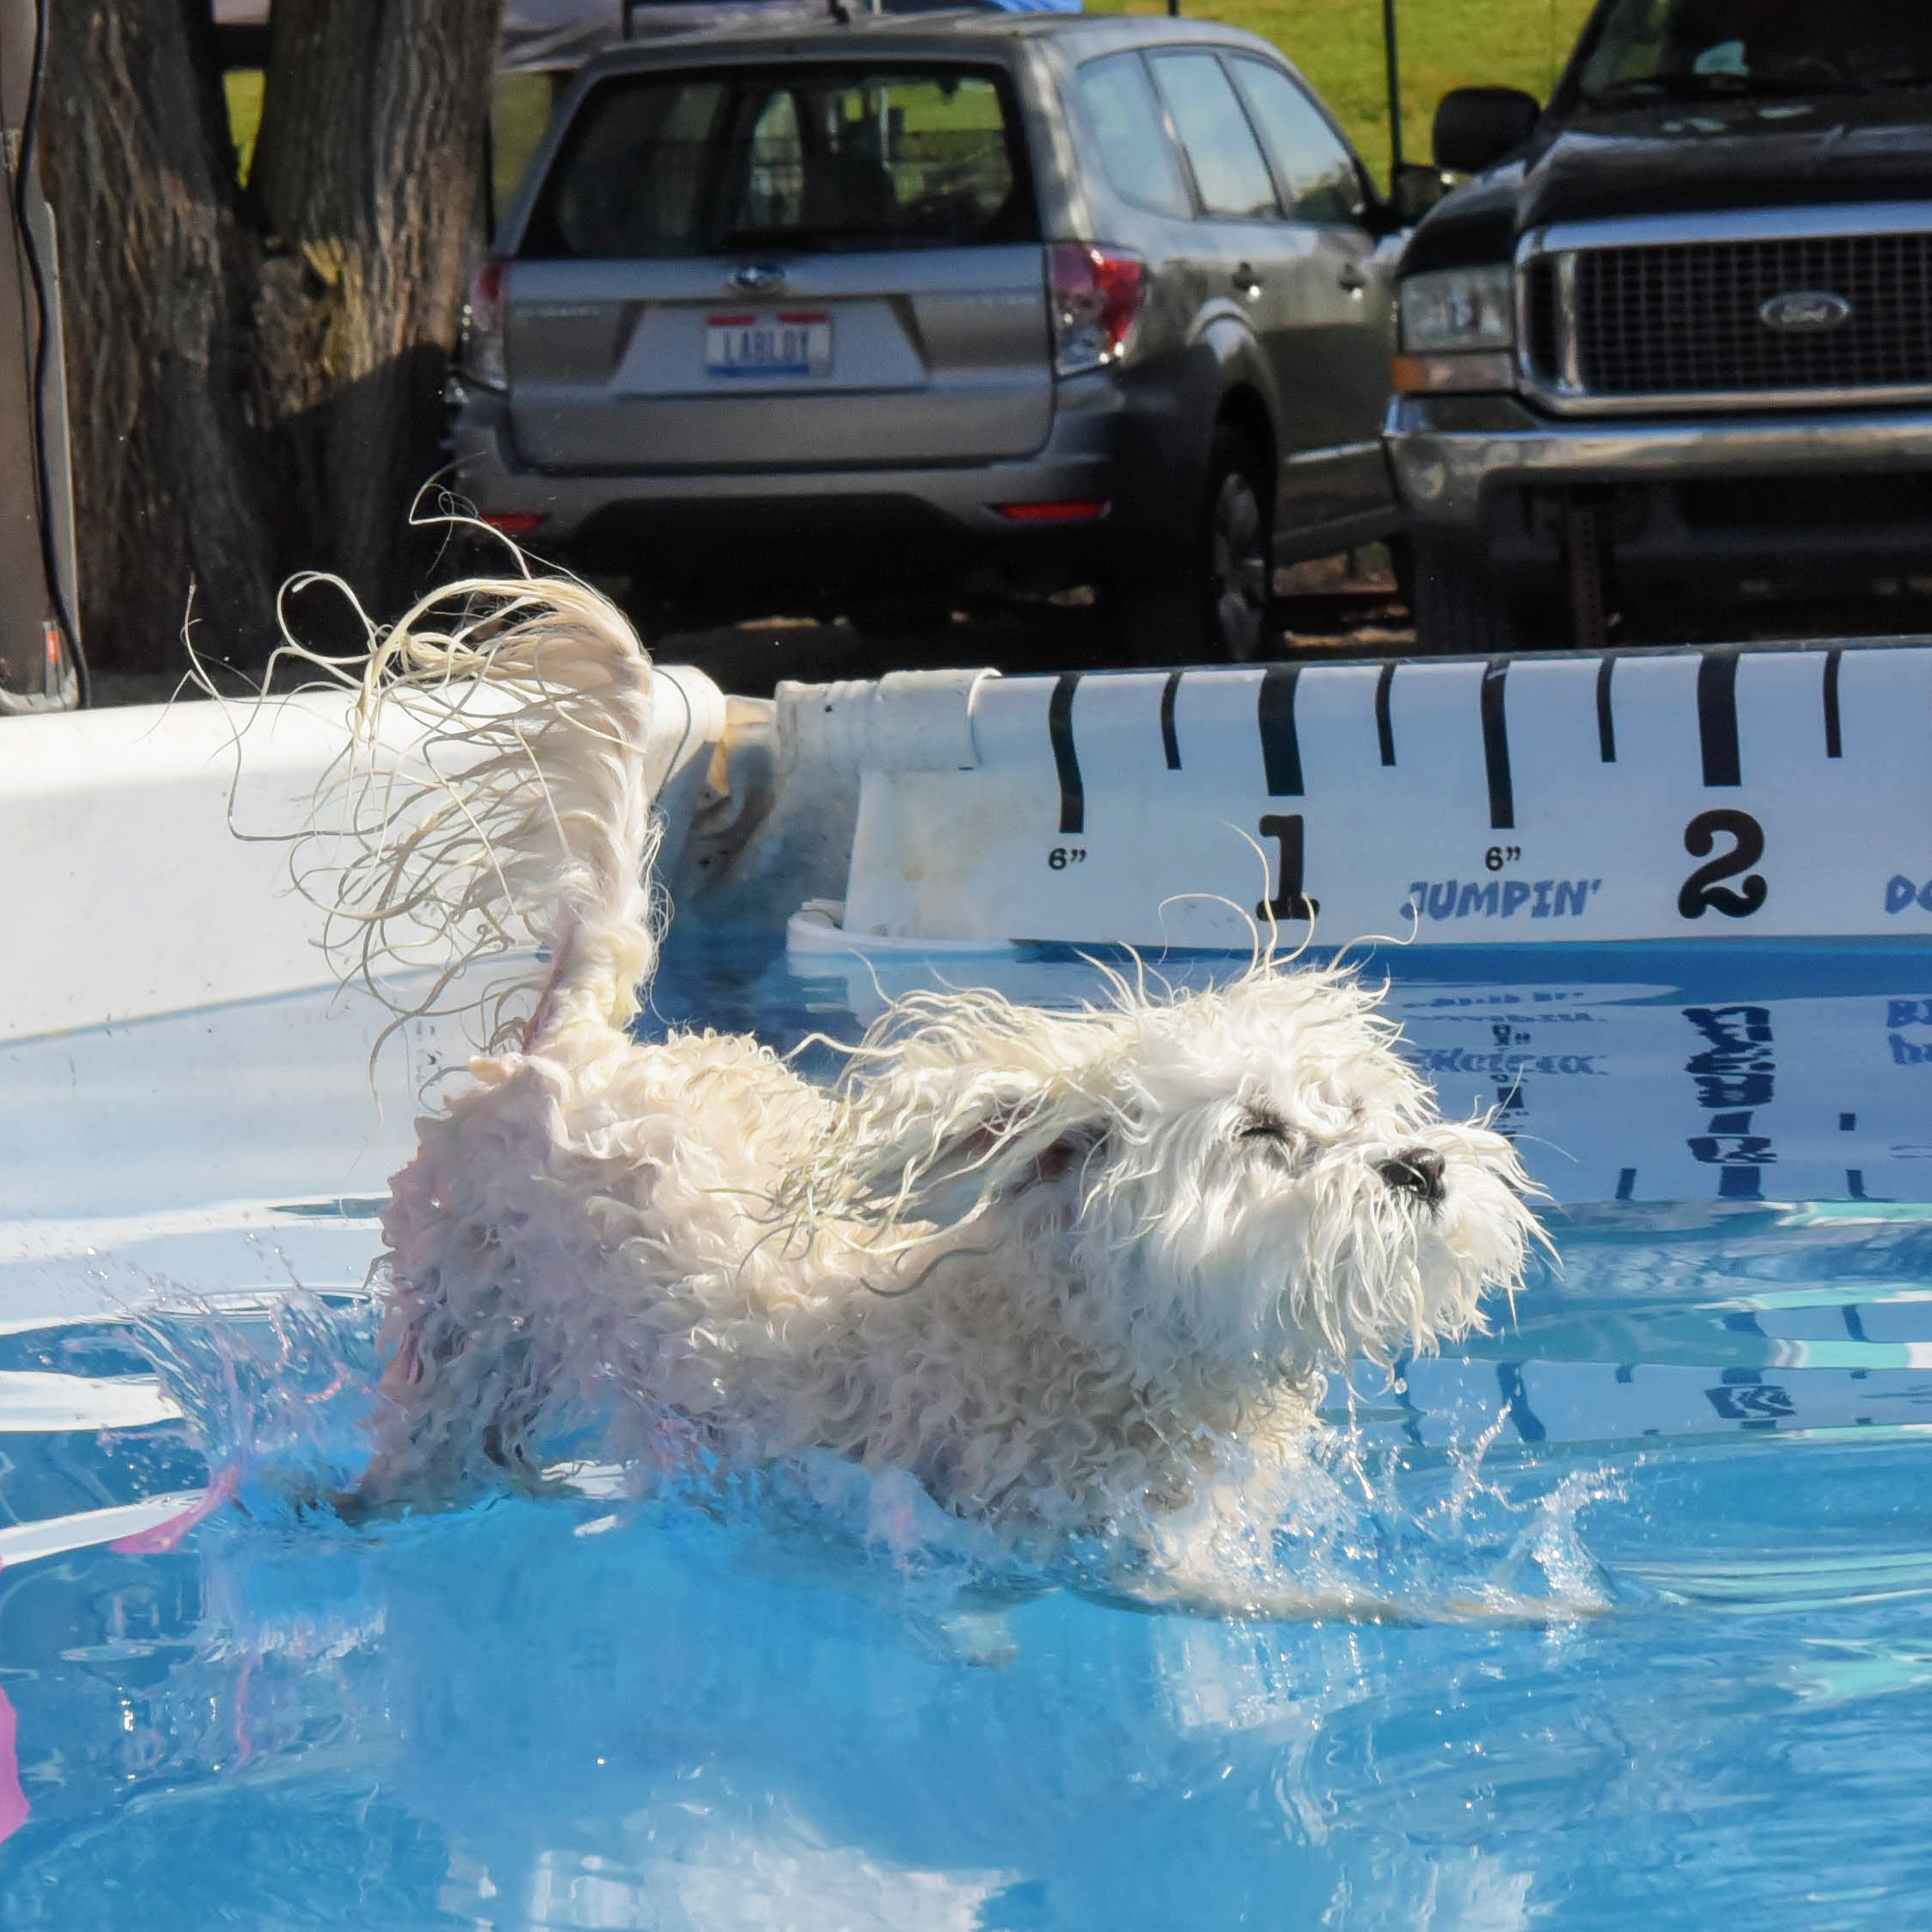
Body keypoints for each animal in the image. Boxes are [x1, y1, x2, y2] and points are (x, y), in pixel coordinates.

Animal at [331, 572, 1538, 1538]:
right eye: (1260, 1132)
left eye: (1361, 1111)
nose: (1422, 1167)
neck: (1062, 1331)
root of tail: (576, 1038)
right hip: (464, 1332)